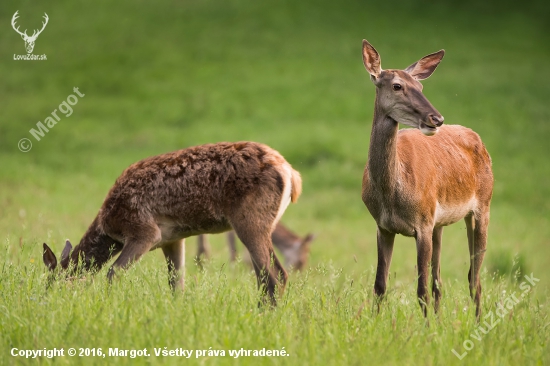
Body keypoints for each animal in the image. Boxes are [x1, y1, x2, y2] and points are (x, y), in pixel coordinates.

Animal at [42, 142, 302, 304]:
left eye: (54, 284)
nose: (47, 303)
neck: (108, 228)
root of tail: (292, 174)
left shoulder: (143, 230)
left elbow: (113, 273)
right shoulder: (173, 239)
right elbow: (177, 284)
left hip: (250, 221)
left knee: (275, 276)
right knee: (266, 276)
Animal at [362, 38, 496, 318]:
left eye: (421, 86)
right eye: (397, 85)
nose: (437, 119)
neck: (391, 193)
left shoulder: (422, 222)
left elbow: (420, 289)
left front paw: (425, 328)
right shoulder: (383, 226)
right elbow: (380, 285)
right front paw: (373, 322)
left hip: (483, 205)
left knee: (474, 278)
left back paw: (478, 322)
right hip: (439, 224)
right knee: (440, 281)